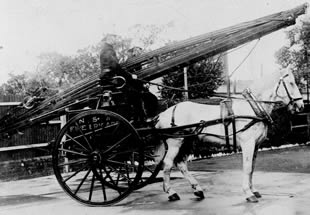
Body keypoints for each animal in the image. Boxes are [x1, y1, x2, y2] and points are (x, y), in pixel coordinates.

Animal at [154, 68, 304, 202]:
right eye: (291, 83)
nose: (301, 105)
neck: (252, 107)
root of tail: (163, 114)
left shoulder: (255, 145)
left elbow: (252, 168)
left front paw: (253, 190)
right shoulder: (248, 144)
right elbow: (247, 167)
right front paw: (248, 193)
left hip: (187, 142)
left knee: (181, 163)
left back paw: (198, 189)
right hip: (175, 142)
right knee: (168, 164)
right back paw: (171, 192)